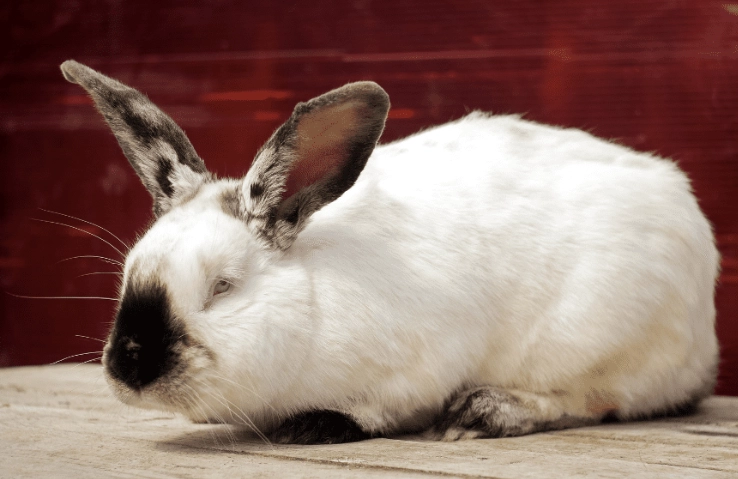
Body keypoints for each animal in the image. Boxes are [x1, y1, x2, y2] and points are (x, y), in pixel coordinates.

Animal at [59, 59, 720, 444]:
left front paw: (317, 424)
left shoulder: (416, 369)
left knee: (599, 400)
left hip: (600, 344)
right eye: (129, 274)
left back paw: (486, 412)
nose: (130, 365)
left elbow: (385, 410)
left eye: (223, 286)